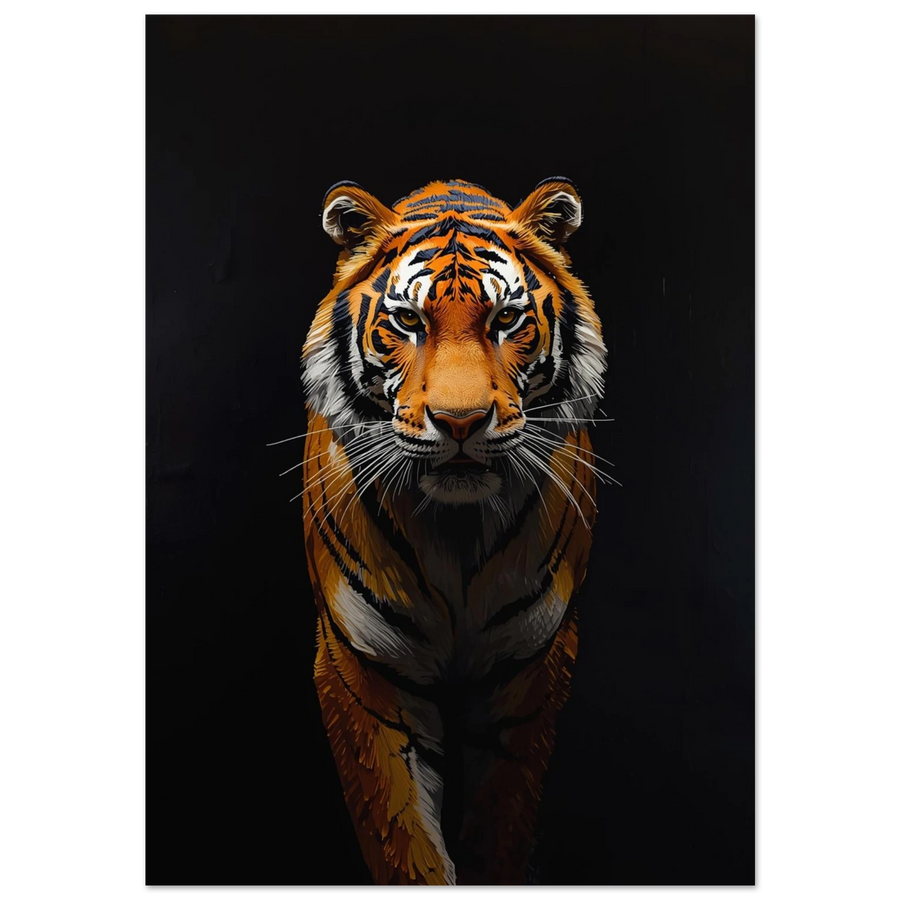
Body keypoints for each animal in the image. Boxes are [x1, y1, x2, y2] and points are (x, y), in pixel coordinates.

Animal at [299, 178, 609, 885]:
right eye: (409, 322)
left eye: (507, 320)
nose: (461, 422)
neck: (456, 534)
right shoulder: (365, 672)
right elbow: (402, 841)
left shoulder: (533, 670)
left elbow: (502, 825)